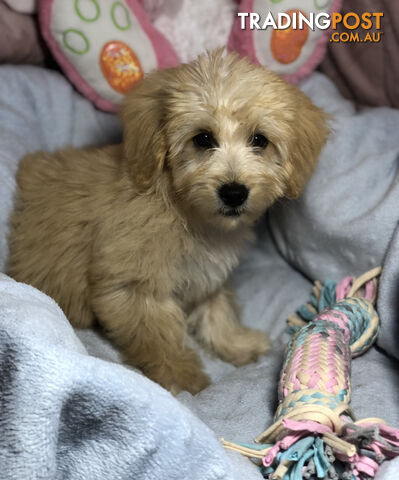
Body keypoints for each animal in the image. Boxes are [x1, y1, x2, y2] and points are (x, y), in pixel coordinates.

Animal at [7, 50, 330, 394]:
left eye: (259, 140)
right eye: (203, 139)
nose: (234, 192)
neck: (183, 209)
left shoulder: (207, 275)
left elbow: (217, 310)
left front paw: (236, 343)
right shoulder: (134, 287)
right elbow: (157, 335)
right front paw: (181, 377)